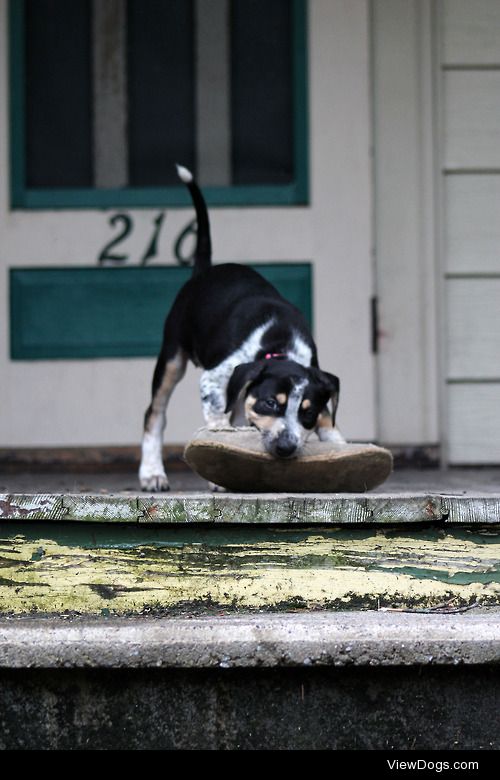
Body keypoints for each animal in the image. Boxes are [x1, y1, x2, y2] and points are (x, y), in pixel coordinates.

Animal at [139, 165, 346, 490]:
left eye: (308, 412)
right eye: (270, 403)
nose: (286, 448)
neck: (279, 346)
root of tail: (203, 272)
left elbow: (328, 418)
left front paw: (338, 443)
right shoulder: (214, 379)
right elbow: (217, 418)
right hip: (172, 356)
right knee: (154, 413)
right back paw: (152, 473)